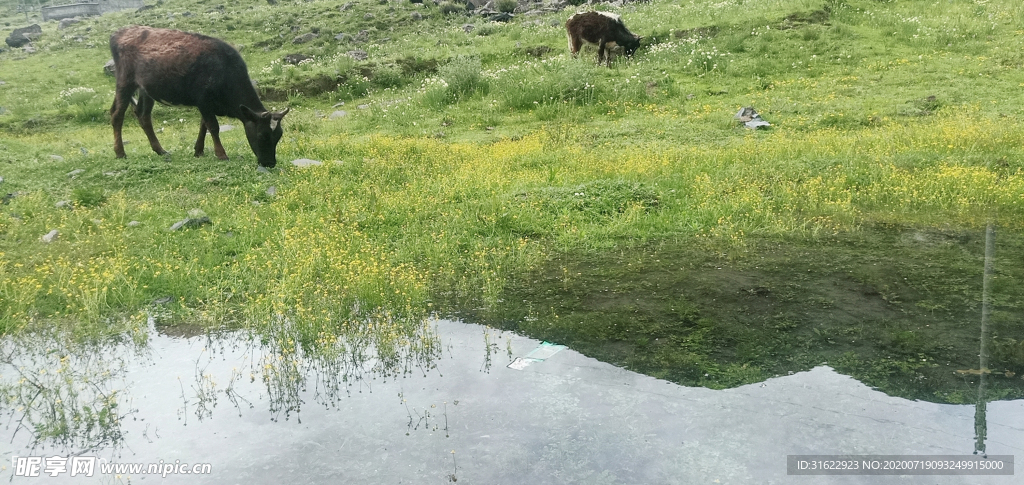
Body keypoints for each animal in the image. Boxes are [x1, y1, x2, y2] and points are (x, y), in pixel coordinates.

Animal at [109, 27, 288, 168]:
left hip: (146, 90)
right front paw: (221, 154)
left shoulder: (207, 105)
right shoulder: (203, 100)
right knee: (117, 114)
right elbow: (213, 127)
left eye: (279, 135)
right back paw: (120, 152)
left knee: (144, 116)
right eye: (262, 135)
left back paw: (160, 150)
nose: (270, 163)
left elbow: (204, 126)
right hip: (125, 81)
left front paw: (199, 151)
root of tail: (119, 32)